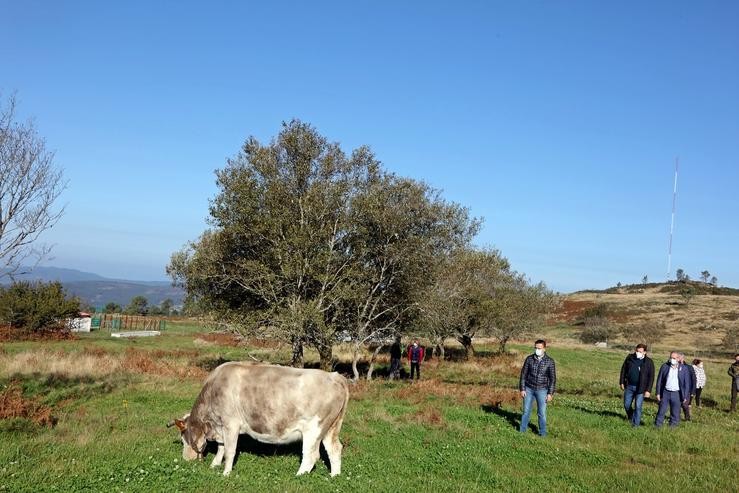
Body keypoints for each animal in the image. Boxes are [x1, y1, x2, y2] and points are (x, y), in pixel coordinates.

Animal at [171, 364, 350, 474]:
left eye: (184, 439)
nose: (186, 460)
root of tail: (335, 376)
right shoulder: (221, 427)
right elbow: (221, 448)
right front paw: (214, 464)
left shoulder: (231, 423)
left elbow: (229, 450)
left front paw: (226, 473)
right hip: (330, 428)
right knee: (335, 449)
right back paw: (334, 476)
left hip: (313, 430)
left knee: (311, 455)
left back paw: (299, 476)